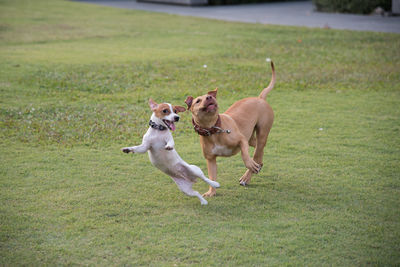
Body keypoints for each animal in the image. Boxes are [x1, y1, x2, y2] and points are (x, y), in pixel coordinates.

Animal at [184, 61, 276, 198]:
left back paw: (247, 176)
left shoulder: (241, 140)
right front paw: (211, 192)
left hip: (262, 133)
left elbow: (245, 156)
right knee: (259, 154)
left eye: (209, 96)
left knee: (256, 155)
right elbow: (212, 176)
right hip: (251, 139)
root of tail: (260, 98)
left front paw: (250, 164)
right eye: (198, 101)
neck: (213, 129)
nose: (209, 98)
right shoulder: (211, 159)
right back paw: (257, 166)